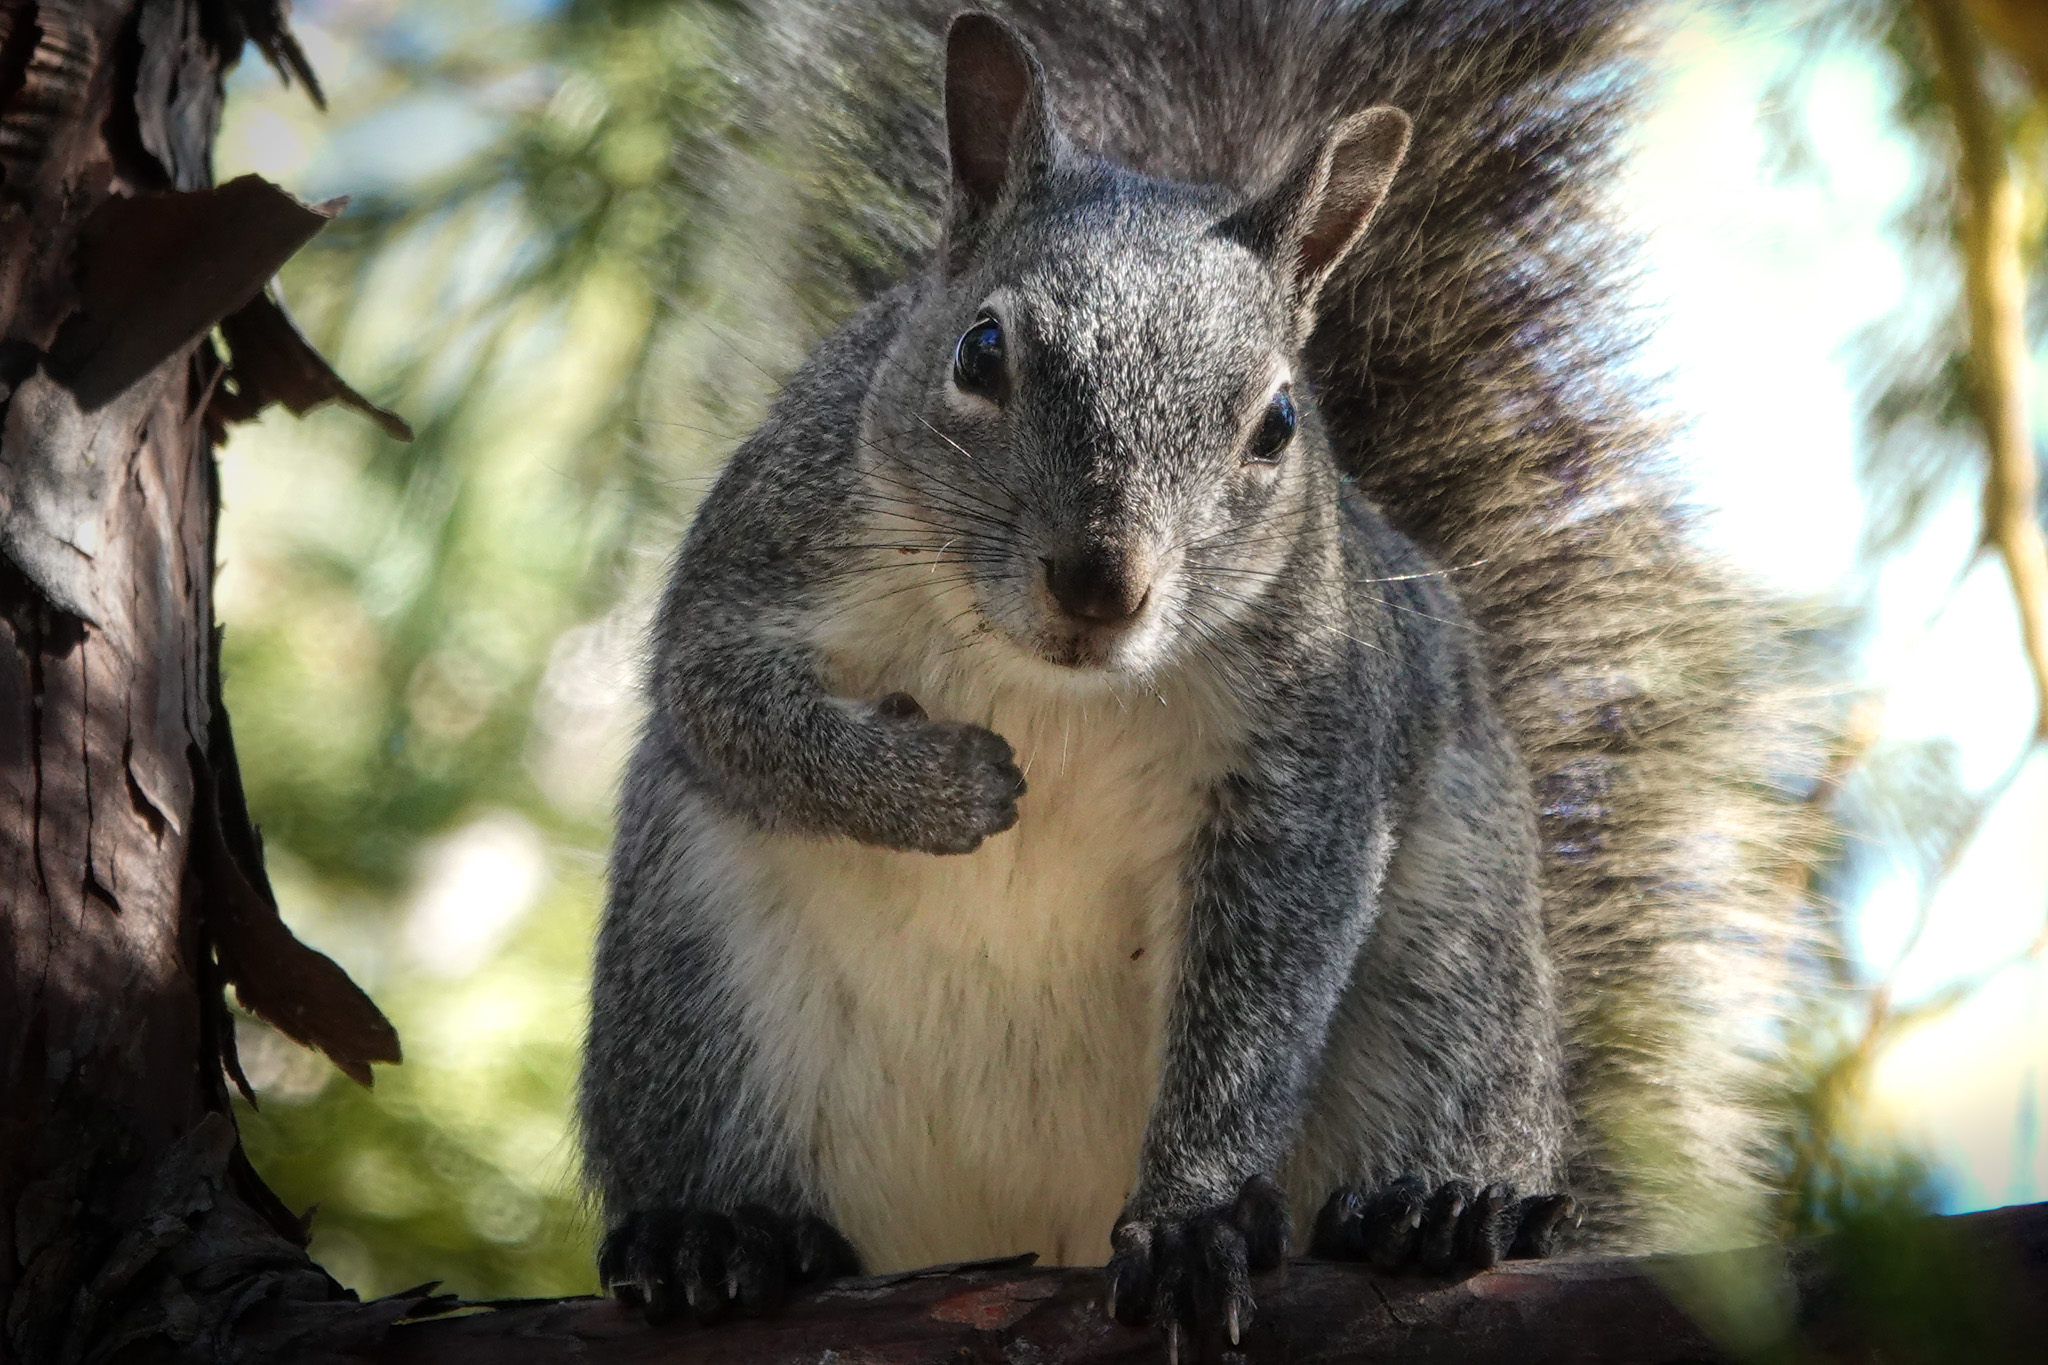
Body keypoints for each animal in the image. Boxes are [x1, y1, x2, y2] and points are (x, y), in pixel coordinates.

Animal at [573, 0, 1810, 1342]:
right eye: (979, 350)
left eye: (1277, 424)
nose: (1099, 585)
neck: (1051, 683)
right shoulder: (763, 553)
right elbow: (723, 707)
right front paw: (947, 788)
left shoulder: (1306, 753)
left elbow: (1260, 998)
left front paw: (1191, 1217)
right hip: (685, 982)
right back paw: (721, 1232)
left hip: (1456, 967)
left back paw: (1436, 1210)